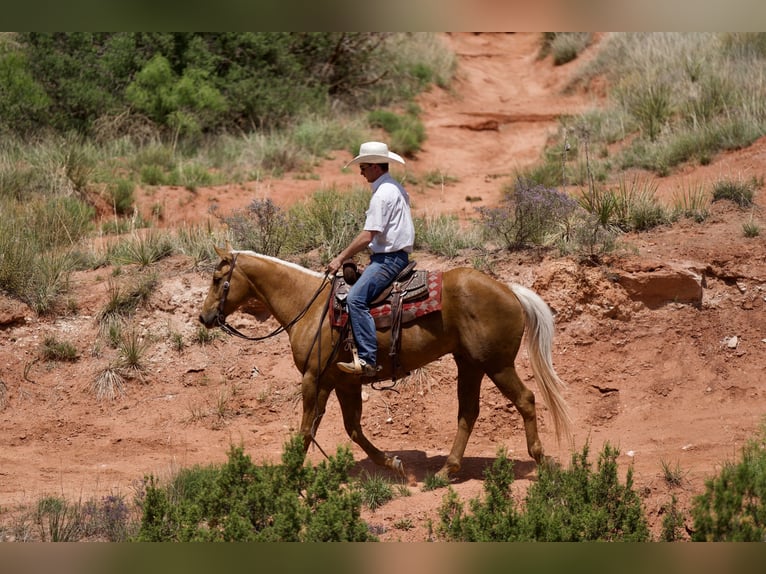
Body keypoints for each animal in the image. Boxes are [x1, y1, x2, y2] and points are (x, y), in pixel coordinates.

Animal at [198, 245, 568, 480]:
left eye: (217, 280)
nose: (204, 317)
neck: (309, 305)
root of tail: (510, 290)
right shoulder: (338, 381)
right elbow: (349, 428)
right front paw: (393, 463)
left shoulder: (312, 377)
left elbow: (307, 429)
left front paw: (289, 475)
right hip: (470, 364)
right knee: (468, 412)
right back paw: (446, 470)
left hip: (497, 364)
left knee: (525, 400)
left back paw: (540, 458)